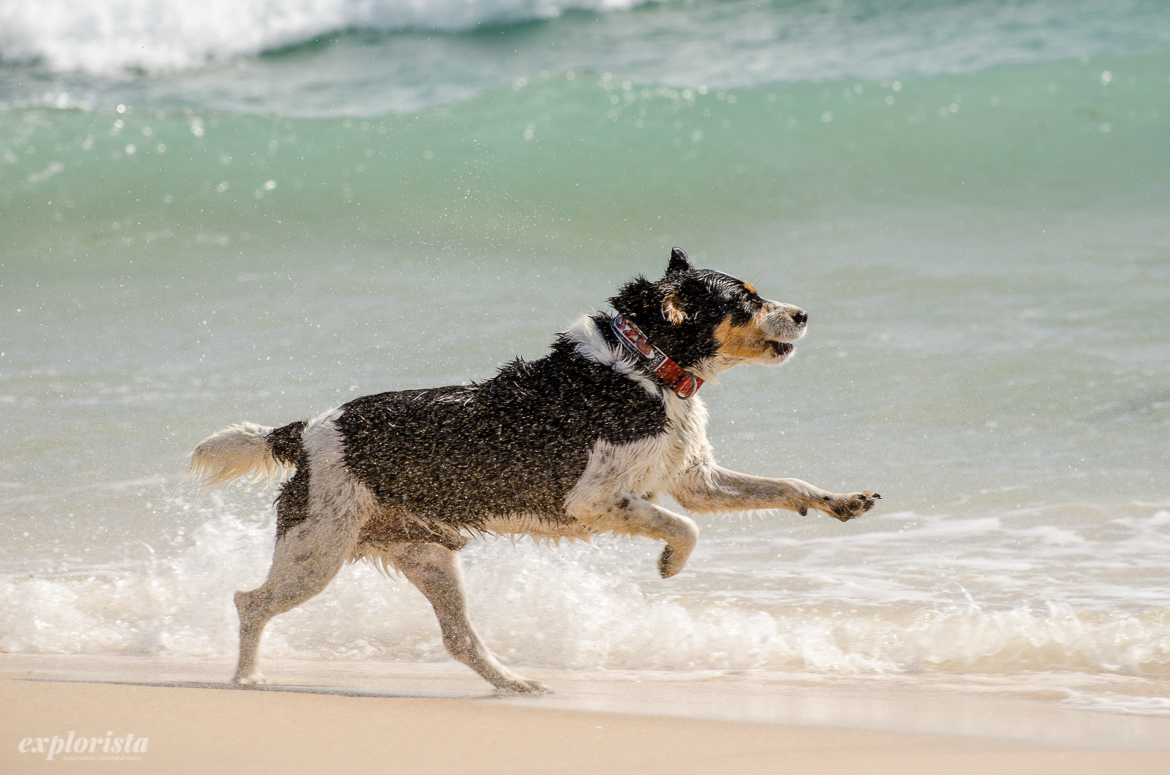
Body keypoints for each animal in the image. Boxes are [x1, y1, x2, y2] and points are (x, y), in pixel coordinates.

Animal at [184, 250, 879, 697]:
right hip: (317, 552)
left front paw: (842, 500)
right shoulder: (594, 500)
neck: (645, 366)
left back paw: (517, 683)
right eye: (747, 300)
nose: (805, 314)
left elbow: (784, 486)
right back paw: (246, 680)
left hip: (426, 556)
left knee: (459, 640)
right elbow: (685, 529)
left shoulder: (693, 480)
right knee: (249, 602)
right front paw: (669, 566)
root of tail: (301, 430)